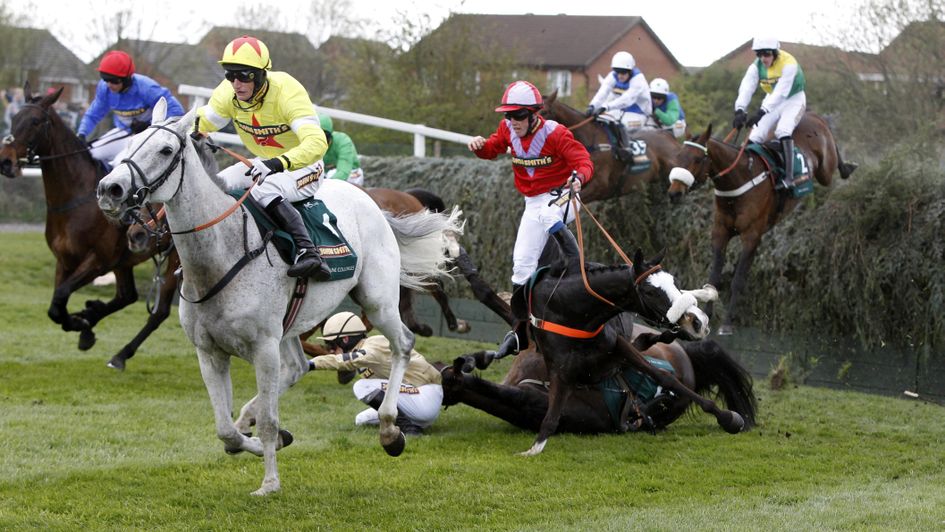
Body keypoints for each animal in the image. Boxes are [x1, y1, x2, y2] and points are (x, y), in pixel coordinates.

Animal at [0, 84, 179, 358]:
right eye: (14, 118)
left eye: (35, 121)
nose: (5, 161)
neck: (76, 198)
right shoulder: (65, 260)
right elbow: (55, 307)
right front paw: (84, 322)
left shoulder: (98, 260)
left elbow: (60, 297)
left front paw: (80, 321)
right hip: (125, 261)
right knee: (127, 295)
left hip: (177, 258)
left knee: (159, 311)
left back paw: (121, 354)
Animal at [664, 115, 856, 332]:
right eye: (678, 156)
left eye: (697, 159)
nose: (674, 193)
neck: (738, 181)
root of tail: (812, 116)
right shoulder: (720, 232)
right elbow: (713, 279)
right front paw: (707, 314)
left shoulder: (752, 236)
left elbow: (738, 280)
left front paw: (727, 324)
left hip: (825, 170)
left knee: (831, 161)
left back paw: (847, 165)